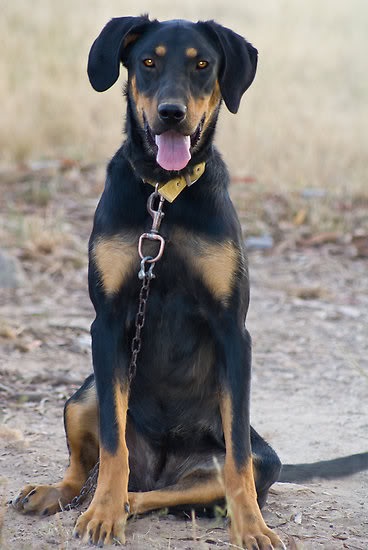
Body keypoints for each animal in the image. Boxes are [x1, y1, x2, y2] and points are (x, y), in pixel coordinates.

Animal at [11, 15, 368, 550]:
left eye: (202, 64)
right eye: (148, 62)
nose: (171, 114)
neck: (166, 194)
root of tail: (160, 467)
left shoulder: (233, 331)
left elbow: (237, 459)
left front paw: (253, 528)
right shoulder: (108, 323)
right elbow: (112, 444)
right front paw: (102, 515)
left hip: (263, 460)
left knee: (177, 489)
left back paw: (131, 501)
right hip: (84, 395)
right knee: (90, 469)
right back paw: (64, 495)